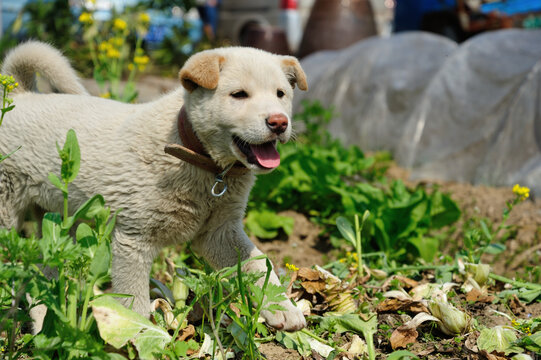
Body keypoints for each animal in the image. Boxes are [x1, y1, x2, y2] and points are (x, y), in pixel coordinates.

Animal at [0, 41, 306, 332]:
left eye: (280, 94)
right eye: (239, 95)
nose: (279, 122)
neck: (203, 163)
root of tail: (20, 95)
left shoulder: (220, 233)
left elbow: (259, 264)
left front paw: (282, 307)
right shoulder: (133, 241)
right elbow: (134, 303)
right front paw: (140, 337)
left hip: (61, 227)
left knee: (44, 283)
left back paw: (43, 327)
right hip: (9, 215)